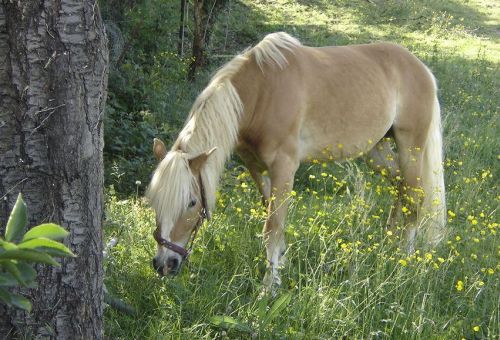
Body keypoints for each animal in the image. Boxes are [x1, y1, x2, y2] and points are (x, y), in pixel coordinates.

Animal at [146, 31, 448, 288]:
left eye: (191, 202)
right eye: (153, 200)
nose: (164, 264)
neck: (261, 93)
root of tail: (423, 70)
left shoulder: (284, 168)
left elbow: (273, 226)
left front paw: (269, 287)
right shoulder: (257, 168)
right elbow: (272, 216)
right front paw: (281, 262)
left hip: (411, 147)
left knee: (415, 195)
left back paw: (404, 257)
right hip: (377, 150)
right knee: (401, 188)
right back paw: (389, 240)